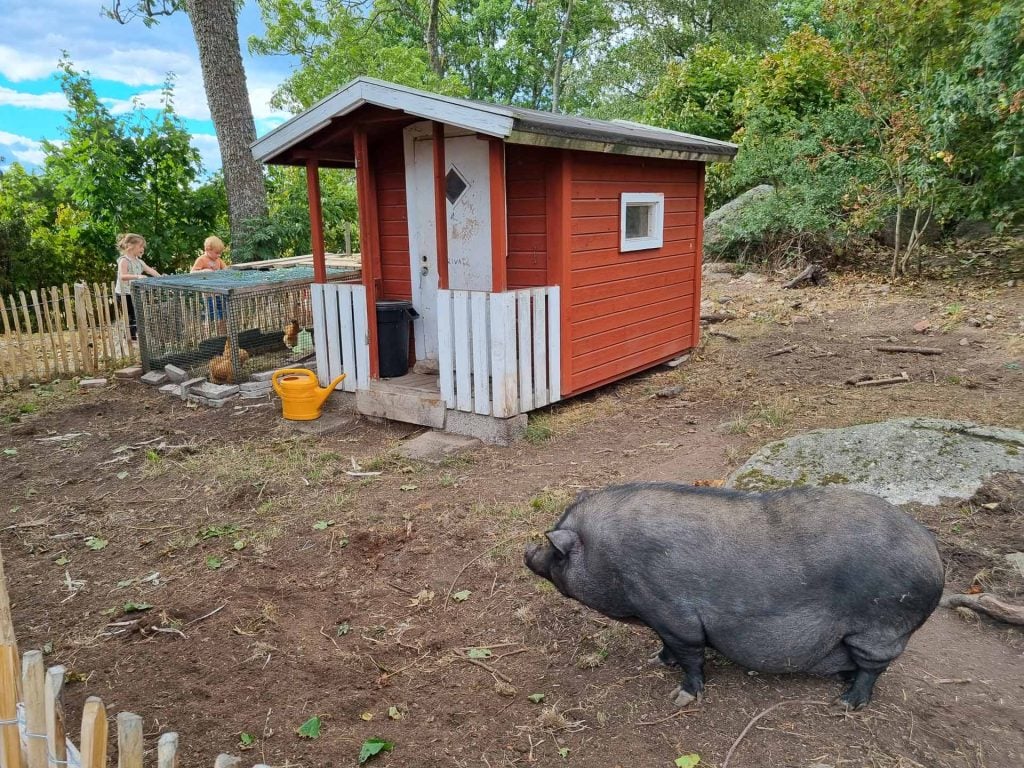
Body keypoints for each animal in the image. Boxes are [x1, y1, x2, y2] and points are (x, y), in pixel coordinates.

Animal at [528, 483, 942, 712]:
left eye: (556, 552)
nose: (527, 553)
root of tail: (935, 560)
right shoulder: (661, 621)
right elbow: (667, 647)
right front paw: (655, 661)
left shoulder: (673, 613)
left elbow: (691, 656)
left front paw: (683, 696)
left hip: (880, 628)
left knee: (873, 669)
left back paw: (845, 703)